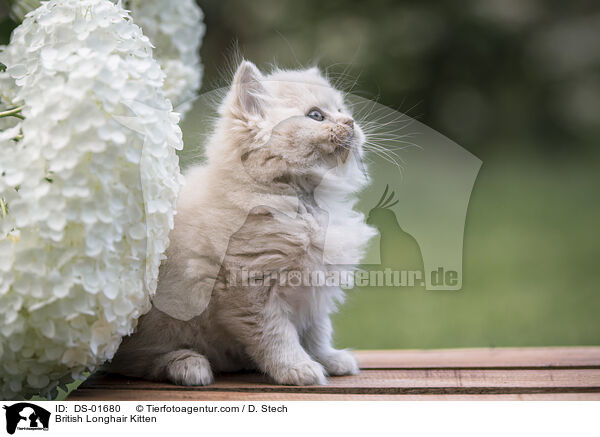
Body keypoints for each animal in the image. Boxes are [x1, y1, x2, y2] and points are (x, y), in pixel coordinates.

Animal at [109, 59, 376, 384]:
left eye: (341, 108)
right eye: (316, 115)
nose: (351, 122)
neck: (307, 202)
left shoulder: (312, 292)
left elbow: (317, 331)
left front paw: (328, 358)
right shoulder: (250, 290)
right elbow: (277, 336)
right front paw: (297, 368)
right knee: (132, 363)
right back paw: (187, 365)